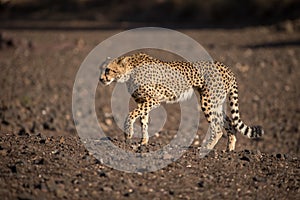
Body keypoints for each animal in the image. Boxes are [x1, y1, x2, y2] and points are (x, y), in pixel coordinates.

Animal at [99, 52, 262, 155]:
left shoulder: (154, 100)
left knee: (217, 128)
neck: (129, 72)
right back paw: (230, 149)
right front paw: (143, 142)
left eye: (108, 70)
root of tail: (227, 68)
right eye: (101, 69)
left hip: (208, 101)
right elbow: (143, 120)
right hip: (216, 102)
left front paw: (128, 133)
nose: (101, 79)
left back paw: (205, 148)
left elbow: (131, 115)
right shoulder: (144, 101)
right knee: (229, 123)